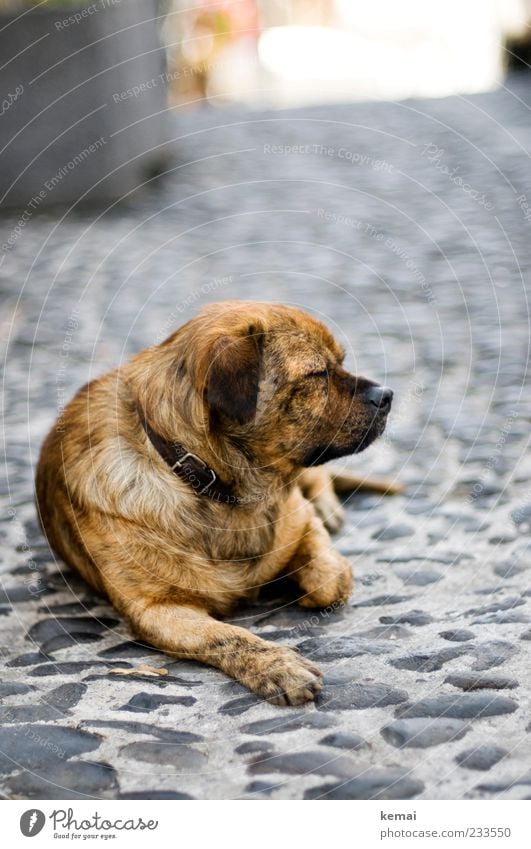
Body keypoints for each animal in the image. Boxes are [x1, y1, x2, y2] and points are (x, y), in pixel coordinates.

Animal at [37, 302, 402, 704]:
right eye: (317, 373)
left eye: (340, 363)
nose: (387, 395)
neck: (220, 489)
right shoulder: (156, 610)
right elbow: (225, 636)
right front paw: (277, 666)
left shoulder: (301, 521)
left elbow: (331, 581)